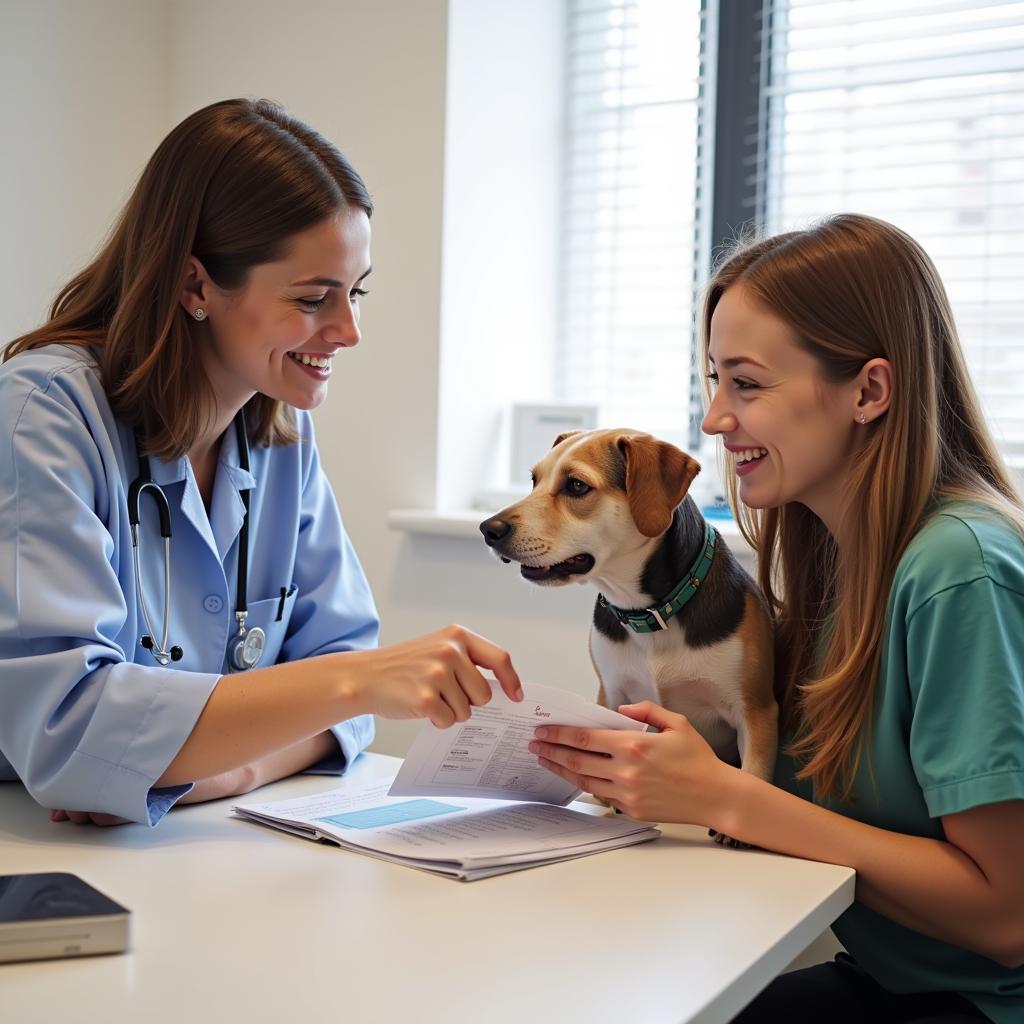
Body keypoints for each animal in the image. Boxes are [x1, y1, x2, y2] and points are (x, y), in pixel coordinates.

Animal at [479, 428, 774, 835]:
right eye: (534, 481)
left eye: (576, 486)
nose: (489, 529)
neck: (650, 612)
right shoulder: (612, 695)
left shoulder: (755, 711)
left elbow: (755, 773)